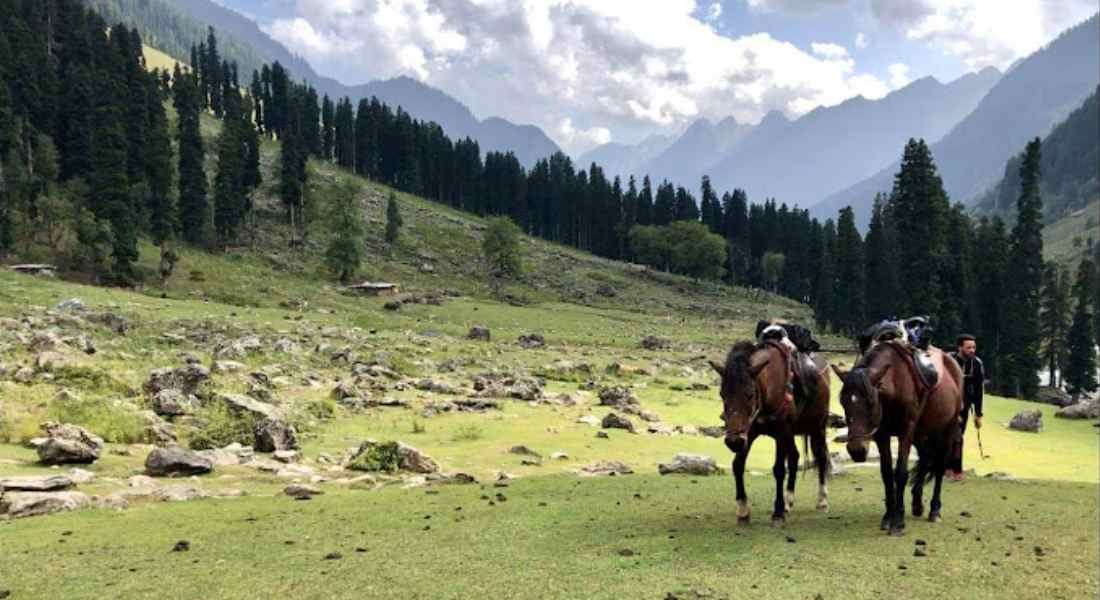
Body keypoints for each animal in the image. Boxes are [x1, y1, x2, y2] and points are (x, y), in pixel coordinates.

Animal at [708, 339, 827, 526]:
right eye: (722, 394)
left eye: (750, 394)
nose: (733, 441)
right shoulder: (749, 433)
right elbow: (737, 465)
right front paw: (743, 511)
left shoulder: (781, 432)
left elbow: (778, 469)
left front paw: (777, 513)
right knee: (794, 457)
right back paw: (788, 501)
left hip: (817, 427)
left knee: (821, 457)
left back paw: (821, 500)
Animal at [831, 341, 963, 532]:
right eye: (843, 401)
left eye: (871, 403)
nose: (856, 450)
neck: (895, 386)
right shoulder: (881, 435)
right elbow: (887, 473)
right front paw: (888, 516)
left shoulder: (905, 432)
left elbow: (901, 472)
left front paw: (898, 519)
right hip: (920, 434)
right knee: (925, 458)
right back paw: (917, 503)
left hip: (946, 431)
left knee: (938, 467)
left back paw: (934, 510)